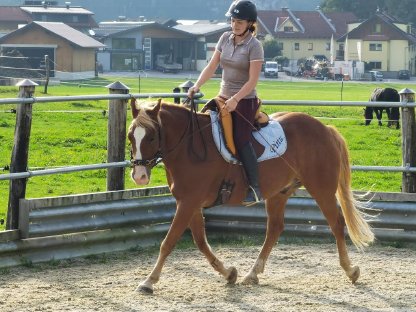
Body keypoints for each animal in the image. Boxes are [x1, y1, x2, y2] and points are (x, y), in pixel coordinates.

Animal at [128, 98, 376, 294]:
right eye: (131, 136)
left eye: (151, 137)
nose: (139, 176)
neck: (190, 145)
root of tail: (325, 128)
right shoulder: (189, 203)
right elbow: (200, 242)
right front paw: (229, 273)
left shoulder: (188, 203)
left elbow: (168, 242)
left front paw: (148, 281)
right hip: (279, 193)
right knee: (274, 228)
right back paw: (252, 273)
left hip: (321, 189)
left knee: (337, 224)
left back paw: (351, 270)